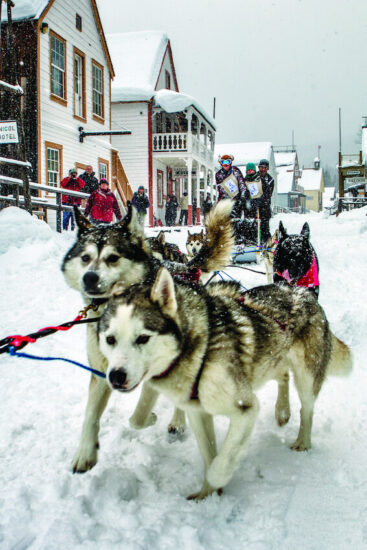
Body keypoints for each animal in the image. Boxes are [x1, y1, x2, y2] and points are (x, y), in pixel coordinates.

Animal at [62, 201, 236, 472]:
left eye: (113, 257)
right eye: (85, 258)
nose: (89, 278)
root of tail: (184, 267)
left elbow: (138, 417)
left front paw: (152, 417)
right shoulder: (102, 369)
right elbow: (90, 413)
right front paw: (85, 452)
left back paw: (177, 421)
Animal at [98, 272, 354, 500]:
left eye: (143, 338)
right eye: (110, 339)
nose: (116, 376)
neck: (200, 349)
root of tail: (303, 292)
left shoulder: (245, 409)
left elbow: (221, 461)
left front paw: (218, 481)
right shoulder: (198, 412)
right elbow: (209, 453)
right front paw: (207, 495)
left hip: (306, 377)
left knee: (307, 409)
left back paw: (303, 441)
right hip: (271, 362)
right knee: (283, 377)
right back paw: (282, 411)